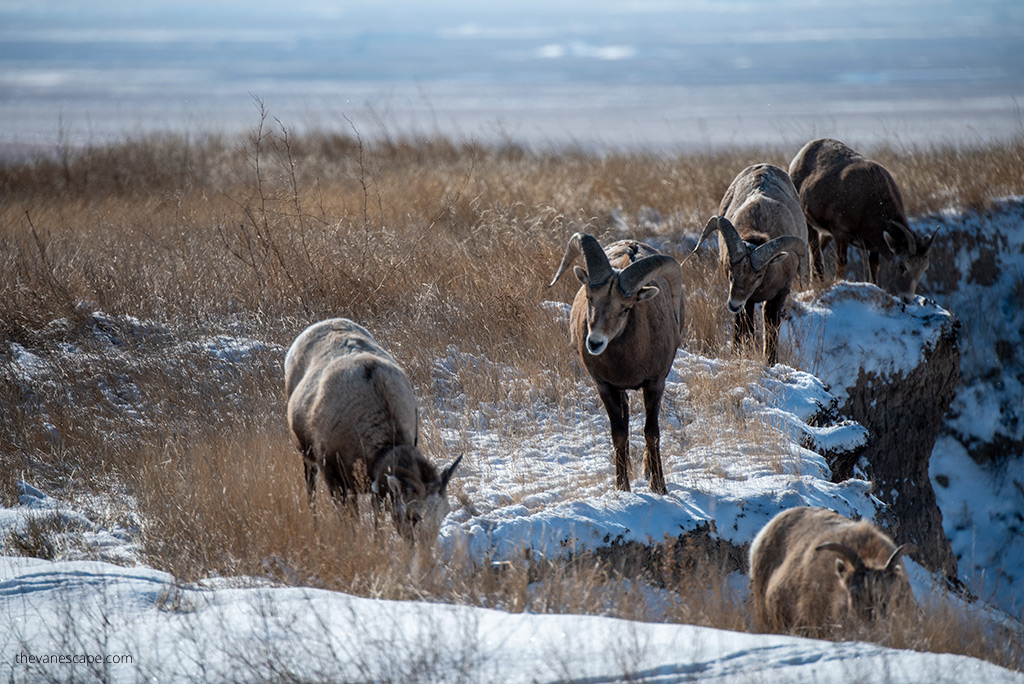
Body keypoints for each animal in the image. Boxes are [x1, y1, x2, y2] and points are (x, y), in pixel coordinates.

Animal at [282, 317, 462, 544]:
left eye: (445, 513)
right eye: (412, 516)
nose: (426, 550)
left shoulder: (376, 486)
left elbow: (378, 524)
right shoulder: (334, 476)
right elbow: (349, 523)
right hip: (307, 455)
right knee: (310, 490)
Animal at [548, 232, 684, 493]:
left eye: (626, 308)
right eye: (590, 297)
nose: (595, 343)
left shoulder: (655, 384)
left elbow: (652, 433)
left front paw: (658, 486)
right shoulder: (605, 386)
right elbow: (618, 433)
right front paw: (622, 485)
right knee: (626, 418)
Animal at [696, 163, 806, 366]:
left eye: (758, 275)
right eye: (731, 270)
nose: (733, 304)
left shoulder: (778, 295)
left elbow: (771, 329)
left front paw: (770, 362)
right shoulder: (747, 301)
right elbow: (745, 328)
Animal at [786, 139, 937, 296]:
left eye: (923, 269)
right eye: (902, 266)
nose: (906, 298)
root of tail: (798, 156)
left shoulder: (874, 242)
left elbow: (874, 266)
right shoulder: (841, 234)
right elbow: (842, 263)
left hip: (825, 233)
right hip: (809, 223)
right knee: (815, 252)